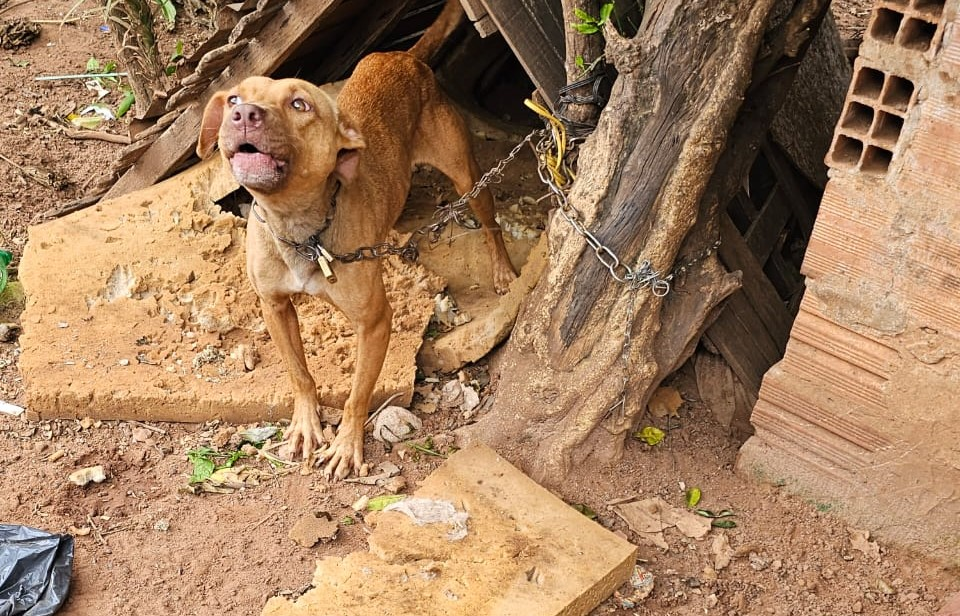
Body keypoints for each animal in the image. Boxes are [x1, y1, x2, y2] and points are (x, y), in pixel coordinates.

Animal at [197, 2, 516, 478]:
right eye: (234, 98)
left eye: (299, 103)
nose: (244, 114)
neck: (301, 231)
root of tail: (402, 56)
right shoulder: (274, 307)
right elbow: (299, 374)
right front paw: (305, 425)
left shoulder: (374, 323)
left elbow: (356, 394)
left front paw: (347, 445)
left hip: (468, 176)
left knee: (491, 223)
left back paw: (503, 270)